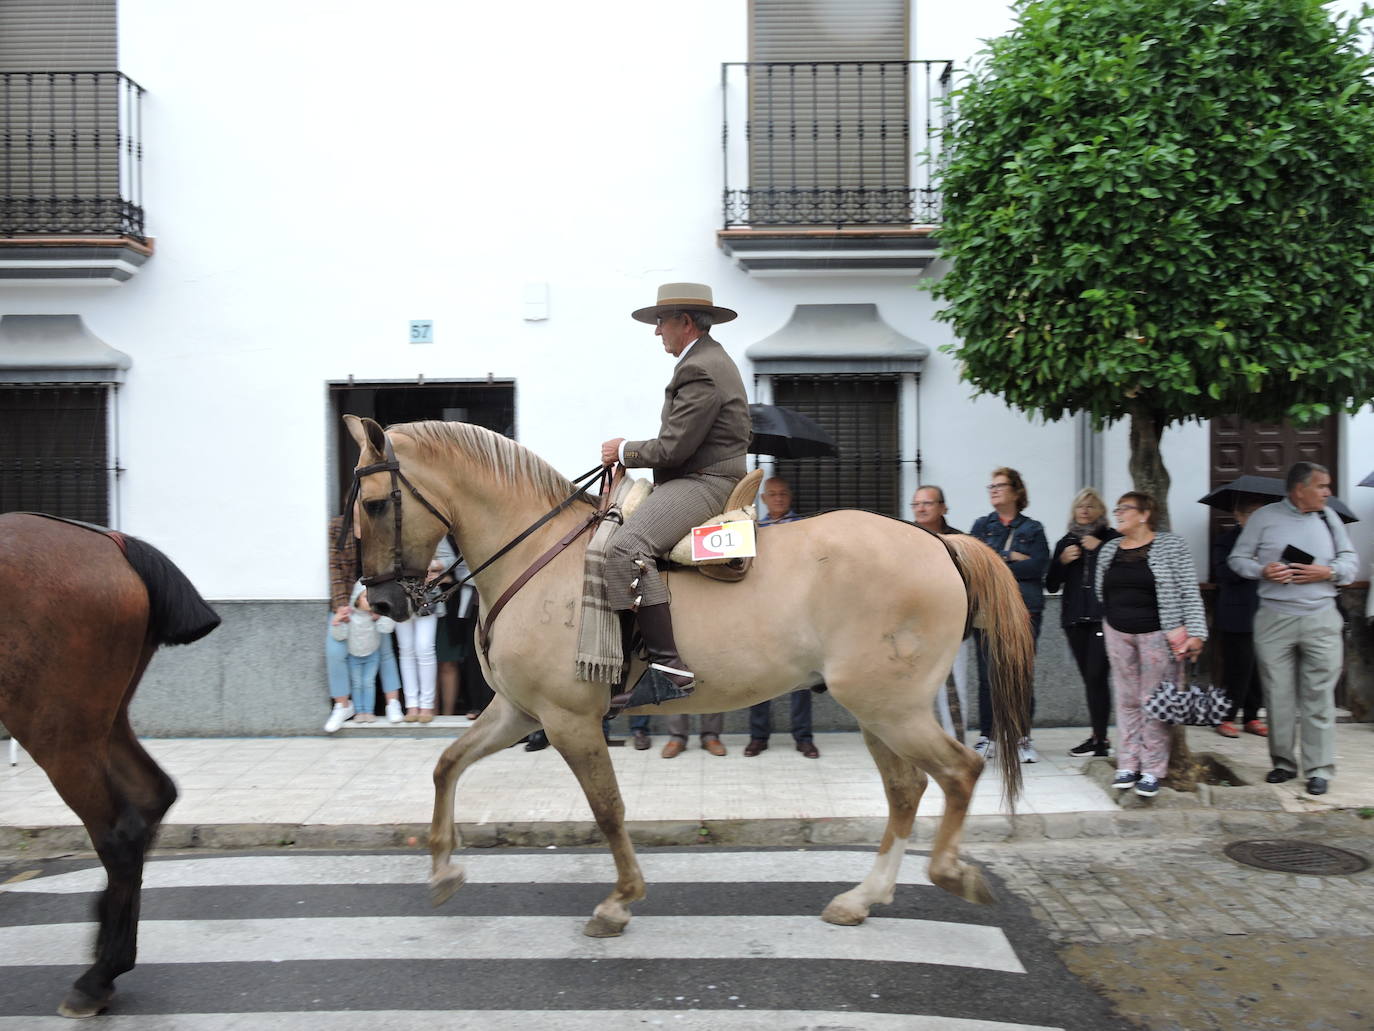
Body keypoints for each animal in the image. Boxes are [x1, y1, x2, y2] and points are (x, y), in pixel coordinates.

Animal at [0, 513, 220, 1018]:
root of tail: (114, 543)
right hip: (103, 721)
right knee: (152, 794)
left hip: (59, 731)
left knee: (120, 833)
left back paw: (99, 976)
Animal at [344, 415, 1033, 938]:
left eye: (375, 505)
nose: (382, 603)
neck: (536, 557)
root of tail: (937, 540)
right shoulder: (519, 711)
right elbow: (447, 765)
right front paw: (442, 871)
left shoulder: (569, 721)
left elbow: (608, 809)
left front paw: (620, 900)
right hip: (877, 710)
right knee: (905, 790)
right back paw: (861, 899)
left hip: (892, 707)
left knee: (957, 773)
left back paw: (949, 873)